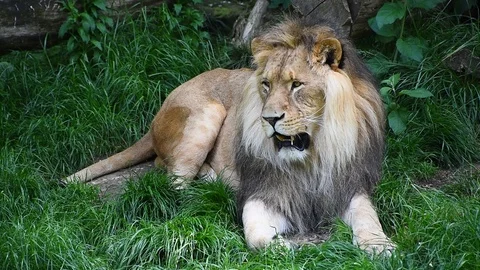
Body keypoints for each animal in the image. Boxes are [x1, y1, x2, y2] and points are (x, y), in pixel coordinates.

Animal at [65, 20, 396, 254]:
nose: (269, 119)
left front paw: (380, 246)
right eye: (266, 84)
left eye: (297, 85)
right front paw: (286, 246)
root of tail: (157, 115)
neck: (311, 157)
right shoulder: (264, 191)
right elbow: (256, 234)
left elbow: (368, 217)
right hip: (207, 113)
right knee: (173, 182)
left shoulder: (349, 186)